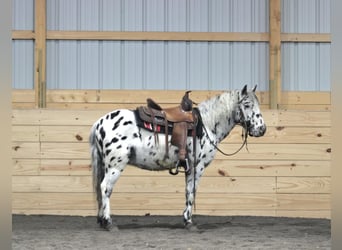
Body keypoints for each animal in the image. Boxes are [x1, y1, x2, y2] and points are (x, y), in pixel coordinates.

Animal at [89, 84, 266, 230]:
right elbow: (192, 191)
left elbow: (188, 191)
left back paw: (102, 221)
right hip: (115, 166)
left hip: (106, 165)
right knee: (105, 188)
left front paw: (186, 219)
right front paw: (189, 222)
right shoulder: (197, 166)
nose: (262, 129)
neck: (207, 124)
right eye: (247, 104)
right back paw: (109, 223)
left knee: (100, 188)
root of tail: (99, 123)